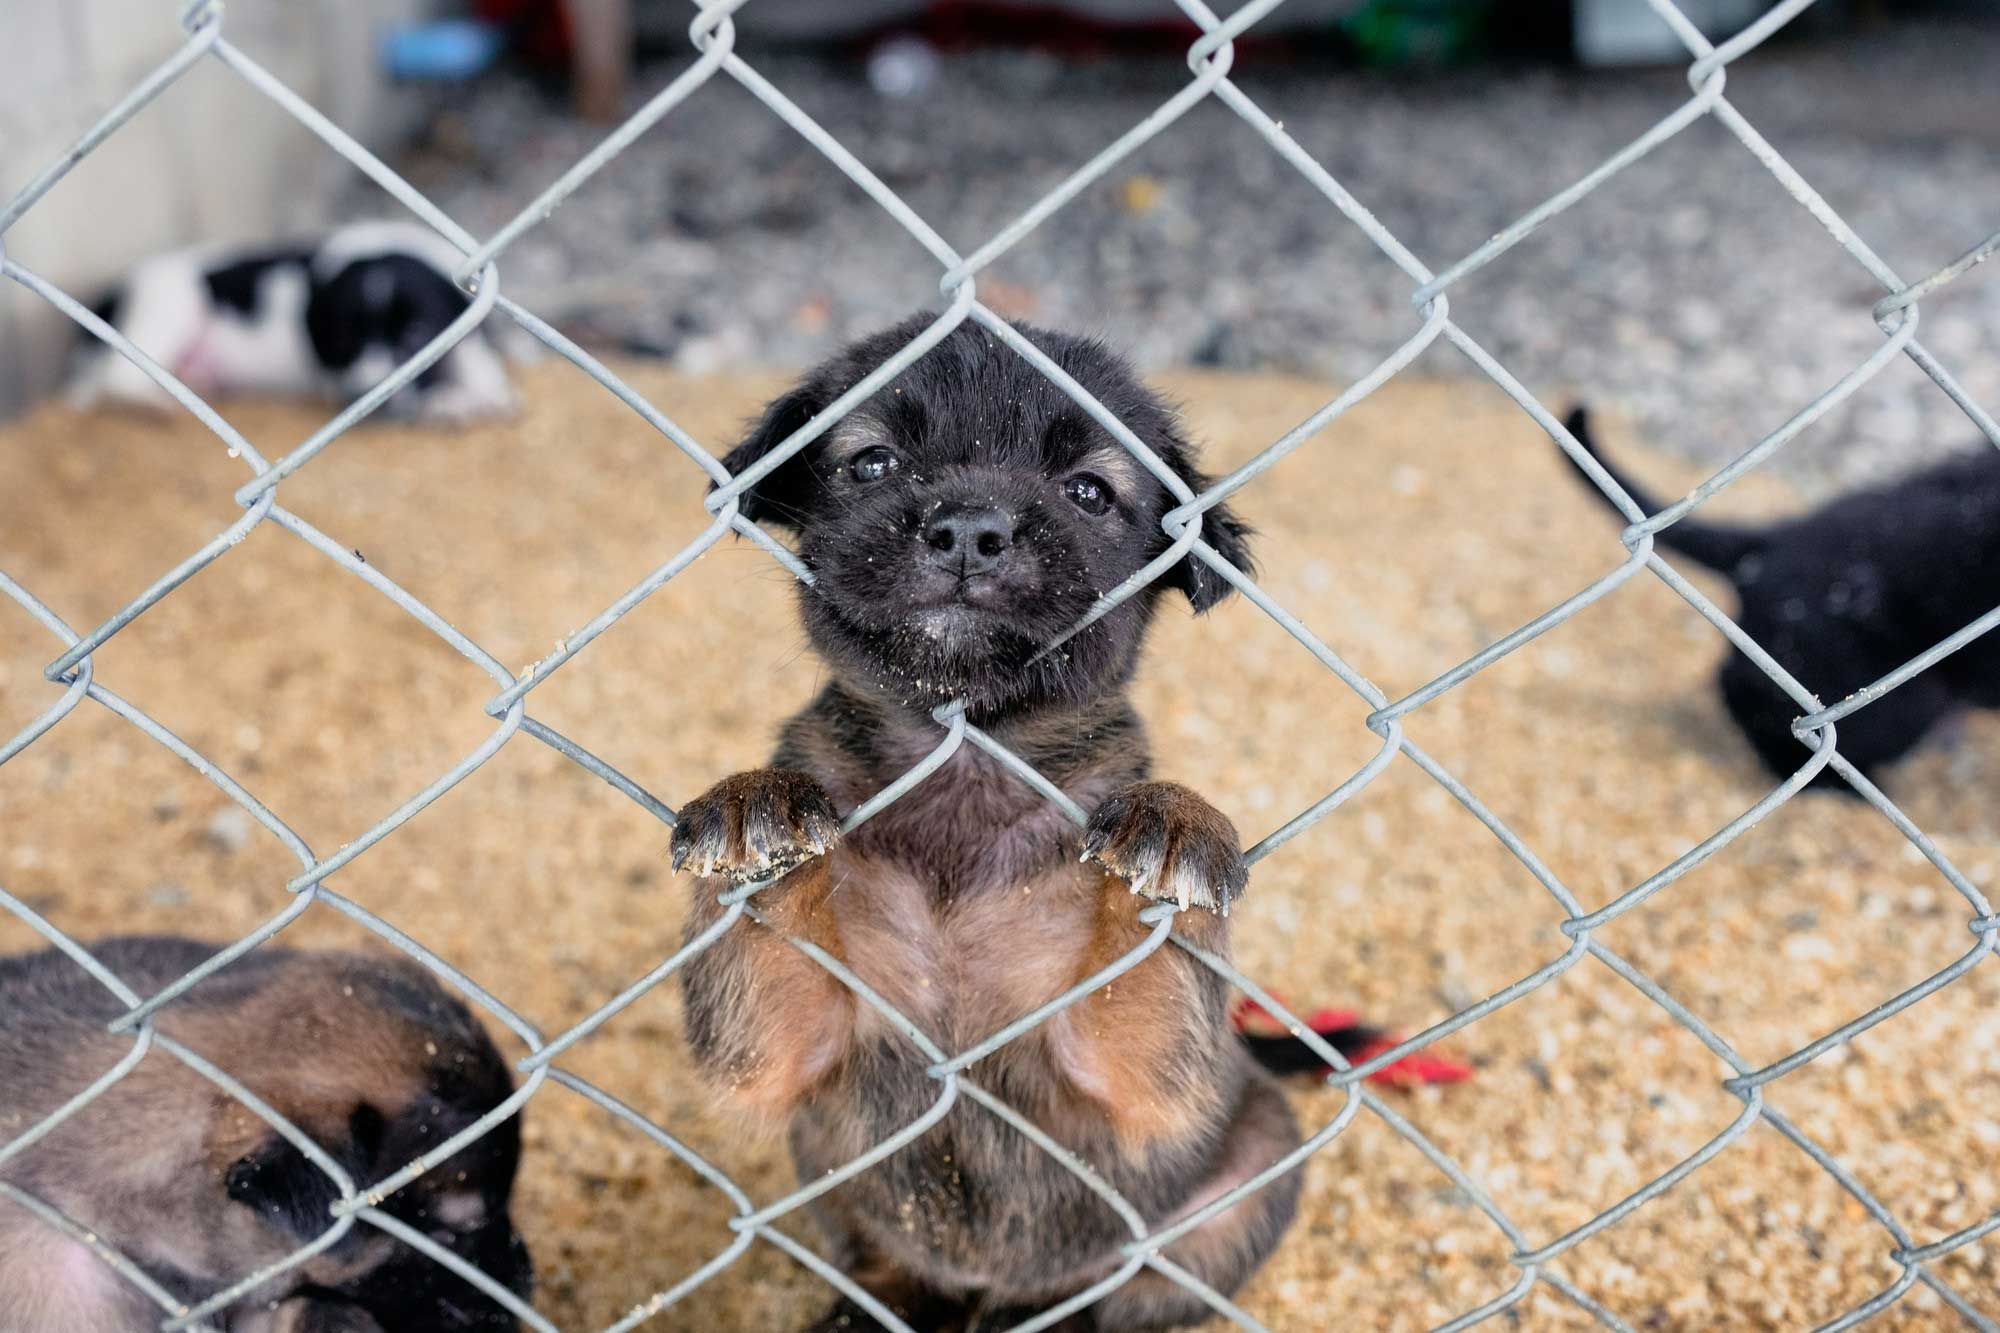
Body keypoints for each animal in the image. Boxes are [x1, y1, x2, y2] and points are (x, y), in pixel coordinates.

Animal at [74, 220, 520, 422]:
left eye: (416, 334)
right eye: (343, 336)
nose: (363, 392)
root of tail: (117, 291)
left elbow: (475, 353)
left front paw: (488, 392)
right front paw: (454, 402)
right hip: (172, 305)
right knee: (114, 380)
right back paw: (157, 404)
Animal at [672, 316, 1296, 1320]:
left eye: (1088, 492)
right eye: (873, 463)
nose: (970, 526)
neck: (963, 759)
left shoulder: (1120, 1067)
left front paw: (1176, 819)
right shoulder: (789, 1041)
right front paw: (752, 802)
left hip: (1251, 1174)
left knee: (1120, 1291)